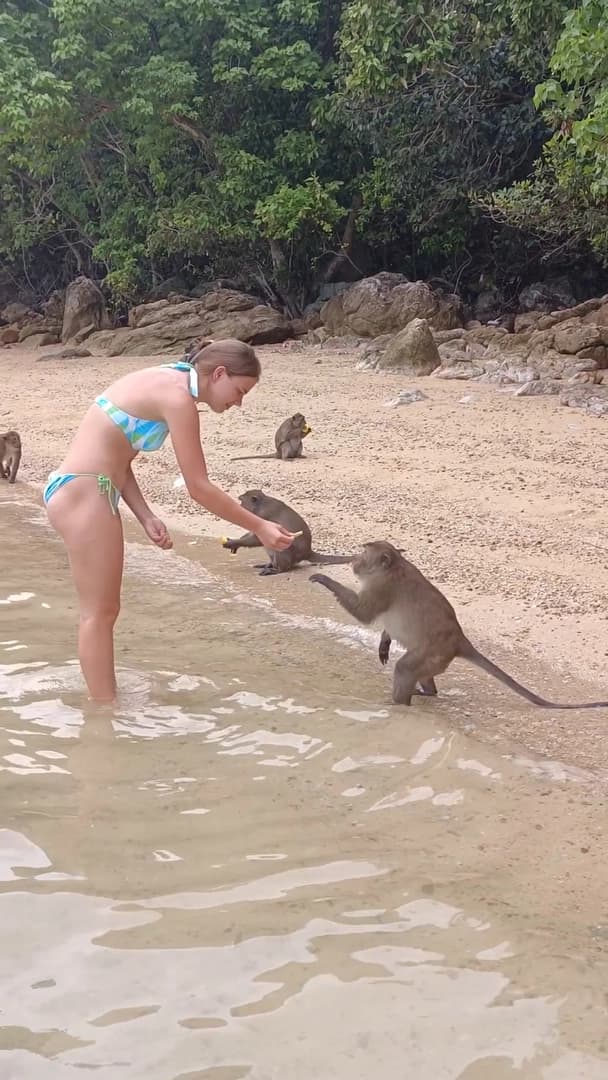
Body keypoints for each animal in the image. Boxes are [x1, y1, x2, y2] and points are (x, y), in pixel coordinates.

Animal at [222, 489, 351, 575]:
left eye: (242, 500)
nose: (239, 505)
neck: (261, 505)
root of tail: (307, 552)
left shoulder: (264, 517)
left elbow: (260, 538)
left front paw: (233, 543)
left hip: (289, 551)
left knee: (281, 550)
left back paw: (276, 569)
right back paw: (268, 564)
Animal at [310, 541, 608, 710]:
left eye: (363, 555)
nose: (353, 561)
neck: (393, 567)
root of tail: (459, 640)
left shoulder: (382, 587)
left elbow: (364, 613)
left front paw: (324, 579)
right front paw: (385, 642)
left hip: (433, 653)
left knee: (405, 667)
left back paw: (398, 705)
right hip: (434, 658)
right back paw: (428, 692)